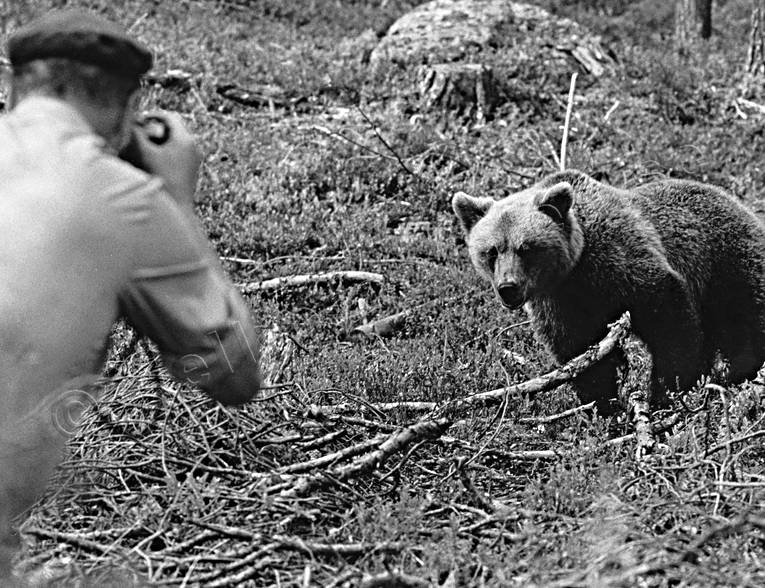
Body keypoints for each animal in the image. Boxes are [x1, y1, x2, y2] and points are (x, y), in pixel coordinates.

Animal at [450, 170, 764, 414]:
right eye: (491, 251)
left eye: (526, 248)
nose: (508, 287)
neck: (575, 270)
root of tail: (739, 204)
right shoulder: (560, 303)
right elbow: (580, 351)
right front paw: (603, 403)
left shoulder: (623, 263)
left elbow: (669, 319)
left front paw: (667, 391)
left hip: (729, 263)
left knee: (746, 320)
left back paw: (738, 371)